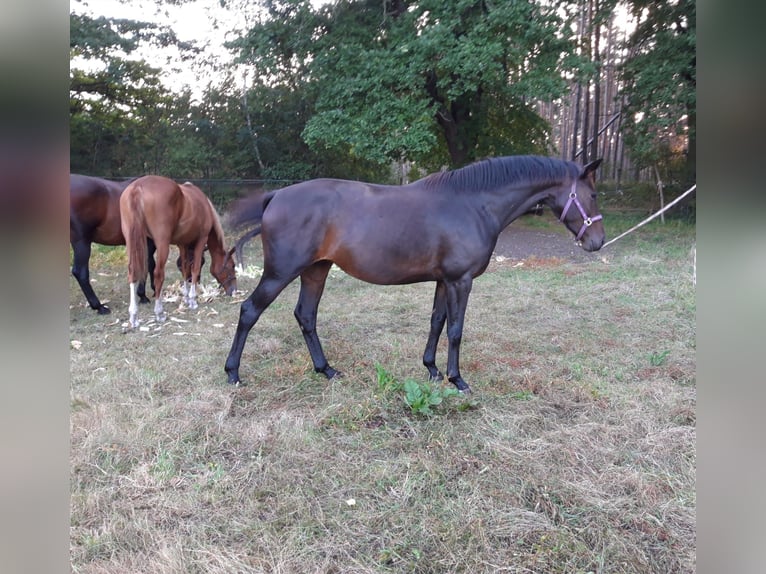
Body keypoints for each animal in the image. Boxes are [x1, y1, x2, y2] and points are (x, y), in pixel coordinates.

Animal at [120, 174, 238, 328]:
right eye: (232, 266)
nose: (234, 290)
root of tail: (137, 188)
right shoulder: (201, 240)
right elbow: (193, 269)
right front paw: (193, 300)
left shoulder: (183, 244)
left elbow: (185, 269)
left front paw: (186, 297)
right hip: (162, 244)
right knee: (158, 274)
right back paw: (159, 312)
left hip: (132, 243)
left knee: (133, 273)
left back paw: (134, 316)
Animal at [224, 155, 608, 394]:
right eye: (592, 194)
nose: (598, 241)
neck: (473, 203)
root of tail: (276, 196)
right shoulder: (460, 281)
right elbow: (455, 330)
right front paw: (457, 379)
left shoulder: (443, 280)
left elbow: (437, 322)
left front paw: (432, 370)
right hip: (280, 272)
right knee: (249, 311)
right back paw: (233, 373)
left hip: (316, 270)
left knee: (305, 315)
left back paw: (327, 370)